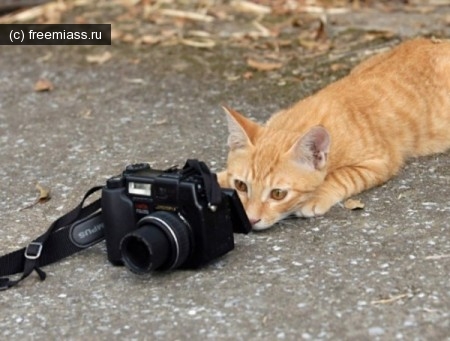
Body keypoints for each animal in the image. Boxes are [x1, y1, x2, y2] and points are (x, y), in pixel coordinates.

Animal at [218, 37, 450, 230]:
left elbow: (342, 175)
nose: (251, 219)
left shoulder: (380, 162)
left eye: (278, 194)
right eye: (240, 185)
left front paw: (316, 195)